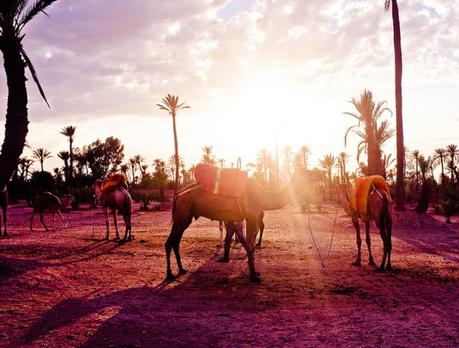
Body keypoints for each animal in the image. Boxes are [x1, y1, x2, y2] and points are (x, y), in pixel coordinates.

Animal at [165, 171, 310, 282]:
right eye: (308, 172)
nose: (315, 175)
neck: (262, 196)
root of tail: (178, 195)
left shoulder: (241, 219)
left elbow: (244, 243)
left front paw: (253, 272)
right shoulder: (251, 217)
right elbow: (250, 246)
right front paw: (253, 276)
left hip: (185, 218)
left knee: (175, 242)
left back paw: (182, 270)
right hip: (182, 214)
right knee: (169, 242)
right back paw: (170, 274)